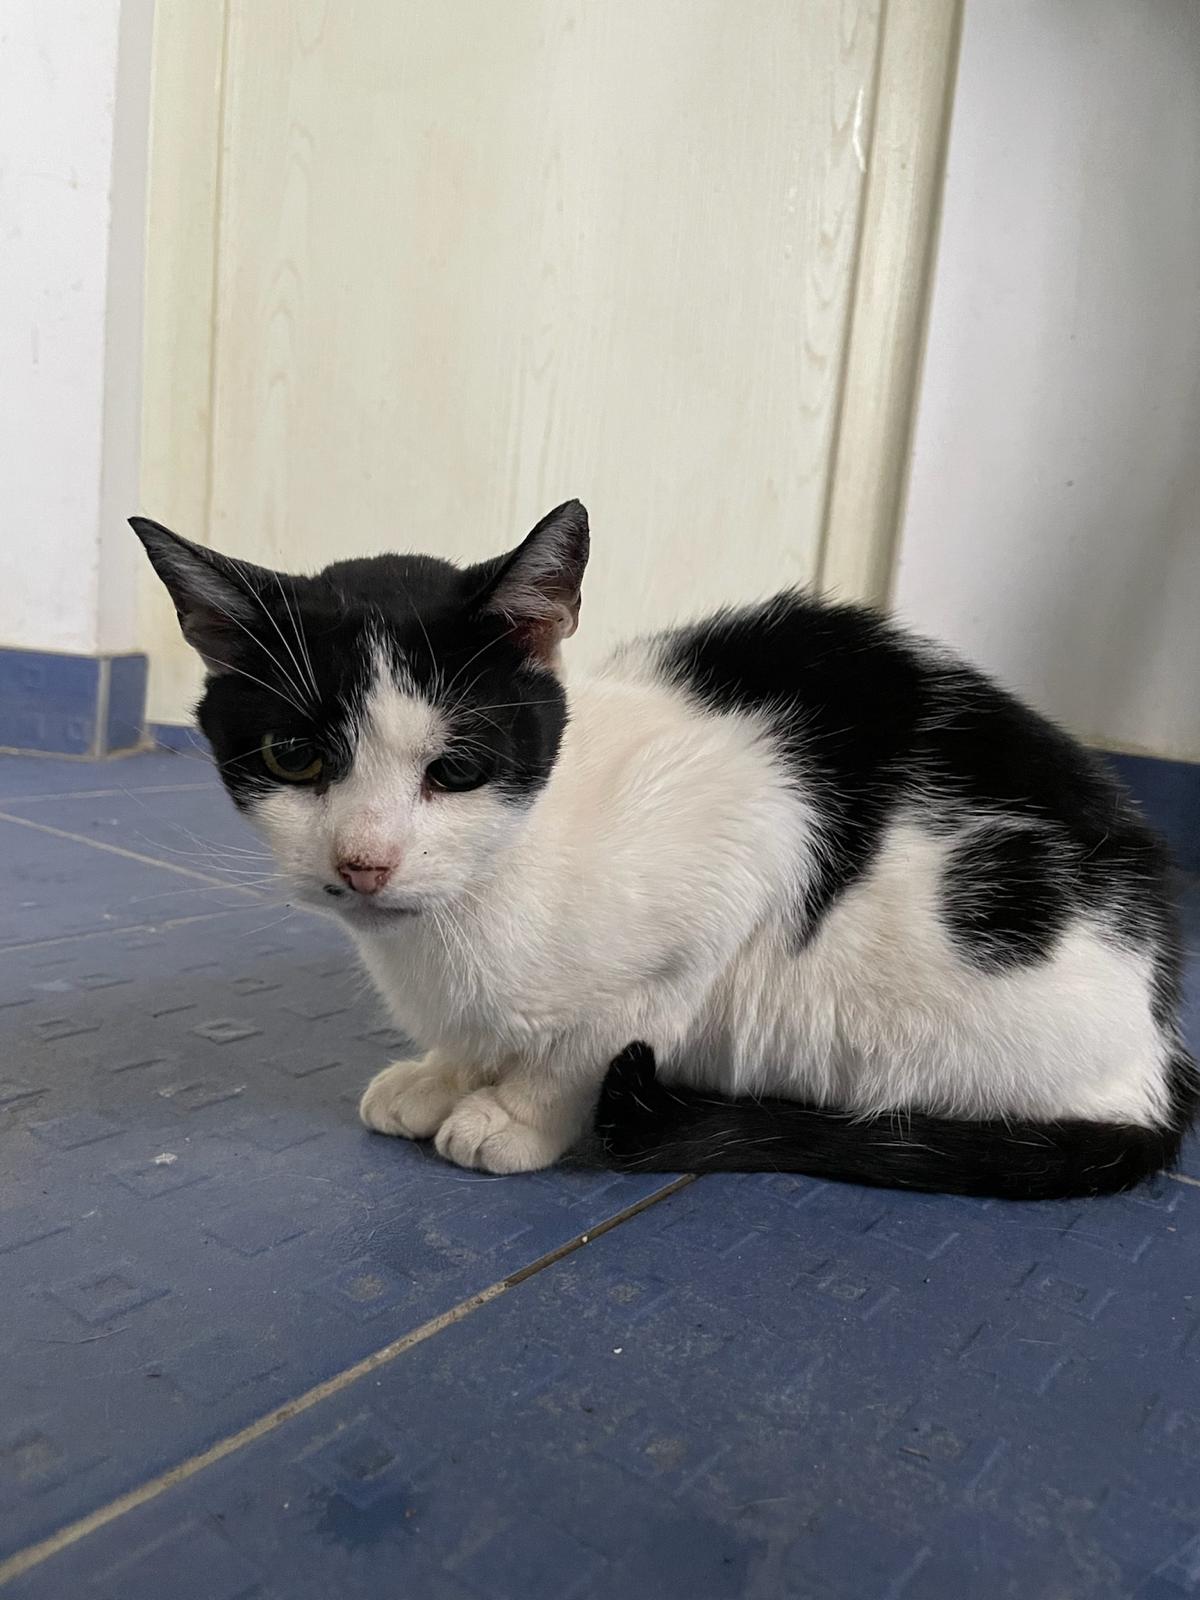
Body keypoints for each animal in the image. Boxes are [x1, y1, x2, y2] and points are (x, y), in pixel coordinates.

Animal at [132, 501, 1195, 1199]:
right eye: (295, 756)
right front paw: (446, 1072)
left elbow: (594, 1040)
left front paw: (514, 1116)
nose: (365, 862)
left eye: (458, 769)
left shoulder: (749, 842)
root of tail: (1155, 1059)